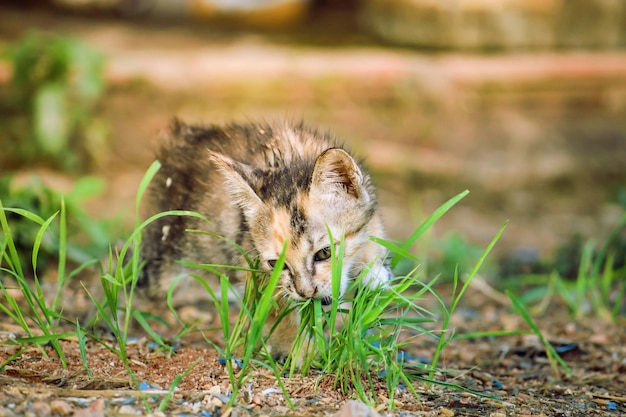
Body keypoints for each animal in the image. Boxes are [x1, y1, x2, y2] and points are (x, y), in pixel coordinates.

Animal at [138, 118, 390, 358]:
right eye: (275, 264)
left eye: (324, 253)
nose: (306, 293)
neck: (290, 158)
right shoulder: (251, 258)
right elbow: (274, 309)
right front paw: (301, 353)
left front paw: (374, 272)